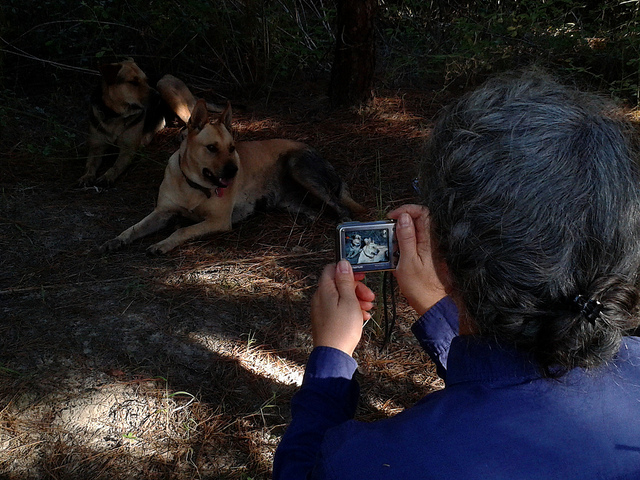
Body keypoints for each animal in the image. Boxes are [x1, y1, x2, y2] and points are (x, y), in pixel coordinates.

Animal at [102, 98, 364, 255]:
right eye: (211, 148)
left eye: (232, 148)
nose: (234, 171)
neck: (194, 186)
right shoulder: (162, 212)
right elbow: (134, 228)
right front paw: (116, 240)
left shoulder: (217, 221)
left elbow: (182, 230)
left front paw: (162, 243)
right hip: (286, 200)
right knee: (312, 209)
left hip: (299, 168)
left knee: (339, 206)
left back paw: (344, 224)